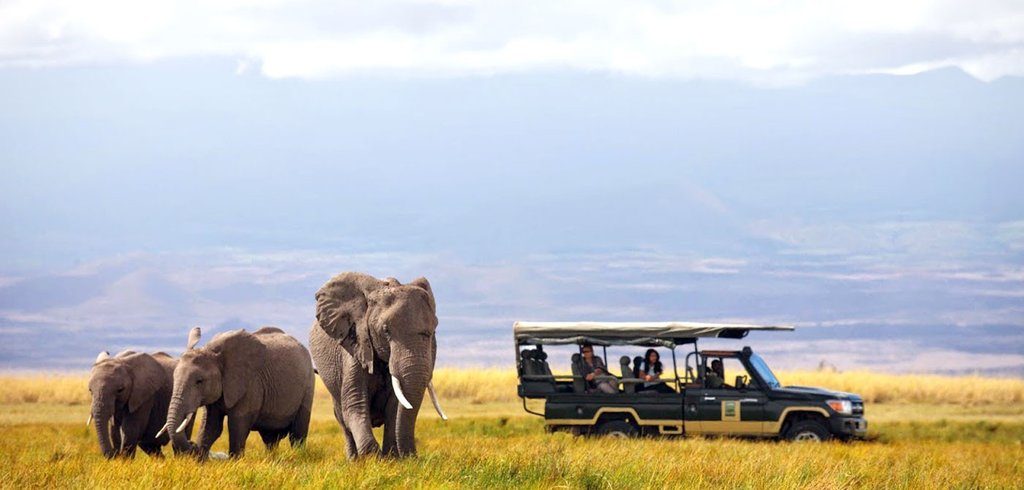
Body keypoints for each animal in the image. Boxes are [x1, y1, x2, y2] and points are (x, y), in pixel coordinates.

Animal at [163, 325, 313, 460]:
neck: (212, 352)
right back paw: (271, 458)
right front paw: (200, 461)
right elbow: (211, 426)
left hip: (308, 384)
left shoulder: (251, 384)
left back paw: (298, 456)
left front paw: (235, 462)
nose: (192, 445)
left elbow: (237, 425)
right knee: (270, 438)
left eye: (199, 381)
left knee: (298, 432)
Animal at [311, 272, 448, 460]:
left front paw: (392, 459)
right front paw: (373, 459)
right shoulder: (355, 345)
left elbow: (394, 409)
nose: (413, 456)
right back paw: (353, 460)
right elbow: (355, 404)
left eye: (434, 330)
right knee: (342, 418)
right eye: (385, 331)